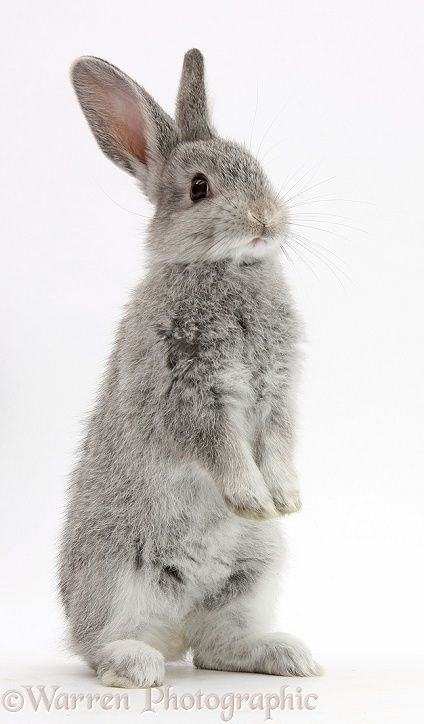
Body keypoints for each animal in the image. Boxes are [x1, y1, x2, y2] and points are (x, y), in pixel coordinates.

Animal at [58, 49, 320, 684]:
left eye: (257, 167)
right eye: (200, 188)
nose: (267, 217)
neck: (226, 269)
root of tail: (172, 632)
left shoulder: (278, 397)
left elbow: (278, 446)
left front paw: (285, 501)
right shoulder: (188, 394)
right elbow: (222, 450)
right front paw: (252, 501)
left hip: (254, 572)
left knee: (217, 645)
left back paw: (287, 655)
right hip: (115, 576)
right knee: (99, 645)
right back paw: (138, 666)